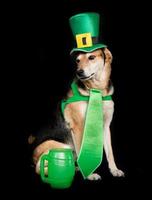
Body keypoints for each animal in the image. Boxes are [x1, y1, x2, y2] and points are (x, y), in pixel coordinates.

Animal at [30, 47, 124, 180]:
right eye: (77, 61)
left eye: (91, 57)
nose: (79, 72)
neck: (96, 90)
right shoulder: (78, 127)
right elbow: (81, 150)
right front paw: (90, 175)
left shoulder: (105, 127)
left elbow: (110, 152)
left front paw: (114, 170)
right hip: (63, 146)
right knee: (40, 166)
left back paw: (75, 168)